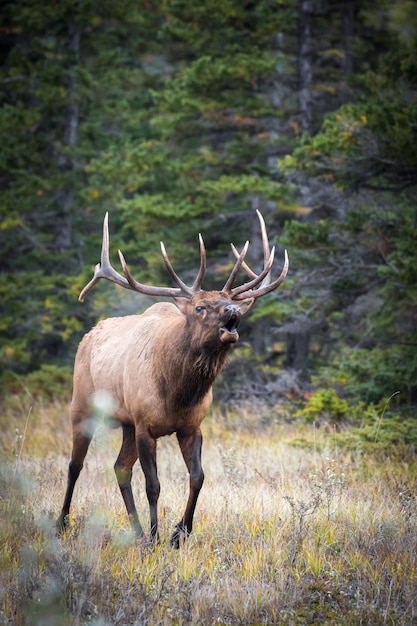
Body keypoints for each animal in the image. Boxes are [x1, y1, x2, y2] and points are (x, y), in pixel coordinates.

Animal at [57, 208, 288, 540]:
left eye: (228, 302)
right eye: (200, 307)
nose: (234, 311)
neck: (178, 392)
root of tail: (87, 335)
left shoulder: (190, 426)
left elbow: (197, 477)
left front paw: (180, 531)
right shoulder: (145, 425)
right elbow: (153, 485)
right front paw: (156, 536)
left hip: (126, 423)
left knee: (119, 468)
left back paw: (137, 531)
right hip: (83, 405)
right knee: (75, 465)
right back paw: (63, 523)